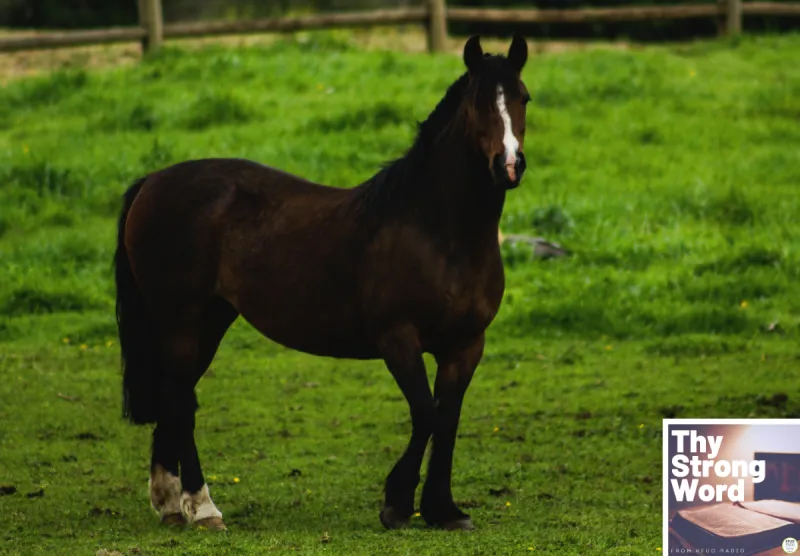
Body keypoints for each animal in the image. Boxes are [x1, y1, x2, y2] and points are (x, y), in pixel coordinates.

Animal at [115, 34, 530, 532]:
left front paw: (442, 509)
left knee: (173, 399)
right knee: (181, 401)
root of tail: (152, 181)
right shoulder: (398, 339)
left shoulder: (466, 344)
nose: (509, 165)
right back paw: (203, 507)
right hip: (180, 321)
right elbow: (426, 414)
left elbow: (446, 421)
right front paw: (396, 503)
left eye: (523, 98)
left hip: (209, 322)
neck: (437, 230)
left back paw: (170, 503)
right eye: (478, 103)